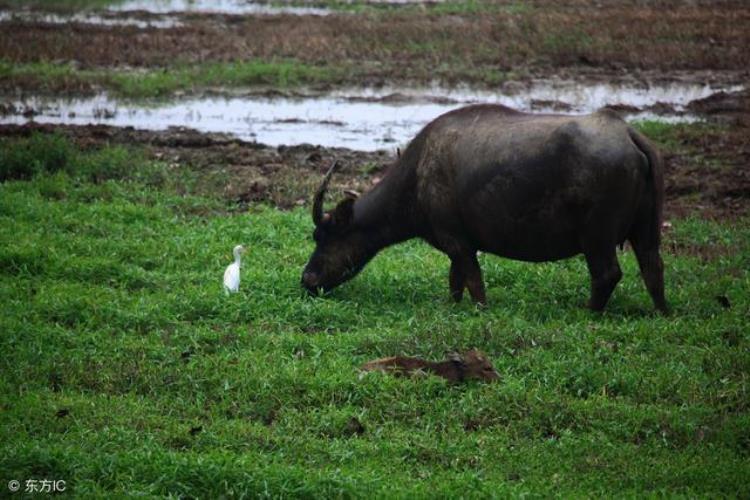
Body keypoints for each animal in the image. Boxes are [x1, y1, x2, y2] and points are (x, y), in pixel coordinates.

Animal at [302, 103, 668, 310]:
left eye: (324, 236)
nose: (307, 279)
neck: (418, 177)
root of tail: (628, 134)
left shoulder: (458, 242)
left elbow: (474, 282)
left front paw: (479, 310)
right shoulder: (456, 247)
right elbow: (455, 281)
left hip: (597, 236)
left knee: (607, 274)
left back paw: (588, 310)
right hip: (647, 228)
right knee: (653, 267)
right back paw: (660, 310)